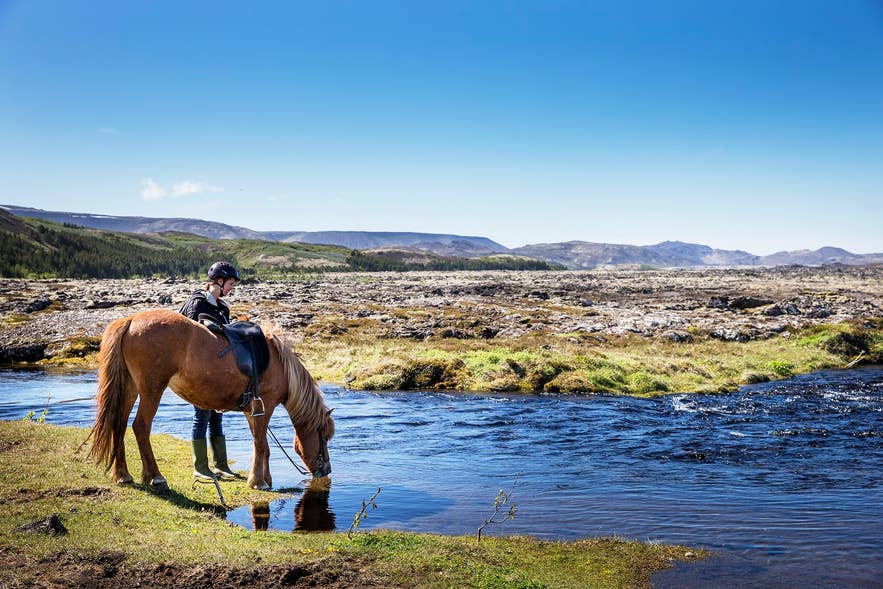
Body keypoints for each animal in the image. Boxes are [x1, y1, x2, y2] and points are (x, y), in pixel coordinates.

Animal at [87, 309, 334, 491]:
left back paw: (122, 474)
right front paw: (259, 482)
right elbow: (262, 444)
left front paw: (265, 478)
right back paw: (155, 477)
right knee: (140, 427)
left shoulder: (252, 411)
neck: (279, 365)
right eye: (323, 435)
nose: (327, 470)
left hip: (129, 388)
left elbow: (261, 444)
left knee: (118, 425)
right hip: (151, 390)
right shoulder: (265, 407)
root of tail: (130, 321)